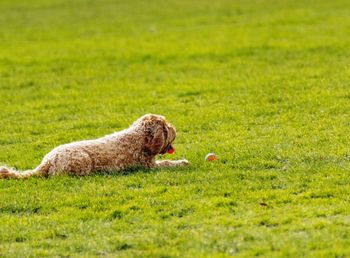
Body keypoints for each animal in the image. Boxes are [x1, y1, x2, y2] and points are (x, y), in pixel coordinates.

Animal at [0, 114, 189, 178]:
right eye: (166, 127)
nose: (174, 128)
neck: (139, 139)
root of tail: (46, 163)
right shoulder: (149, 166)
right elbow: (167, 164)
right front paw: (182, 163)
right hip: (81, 160)